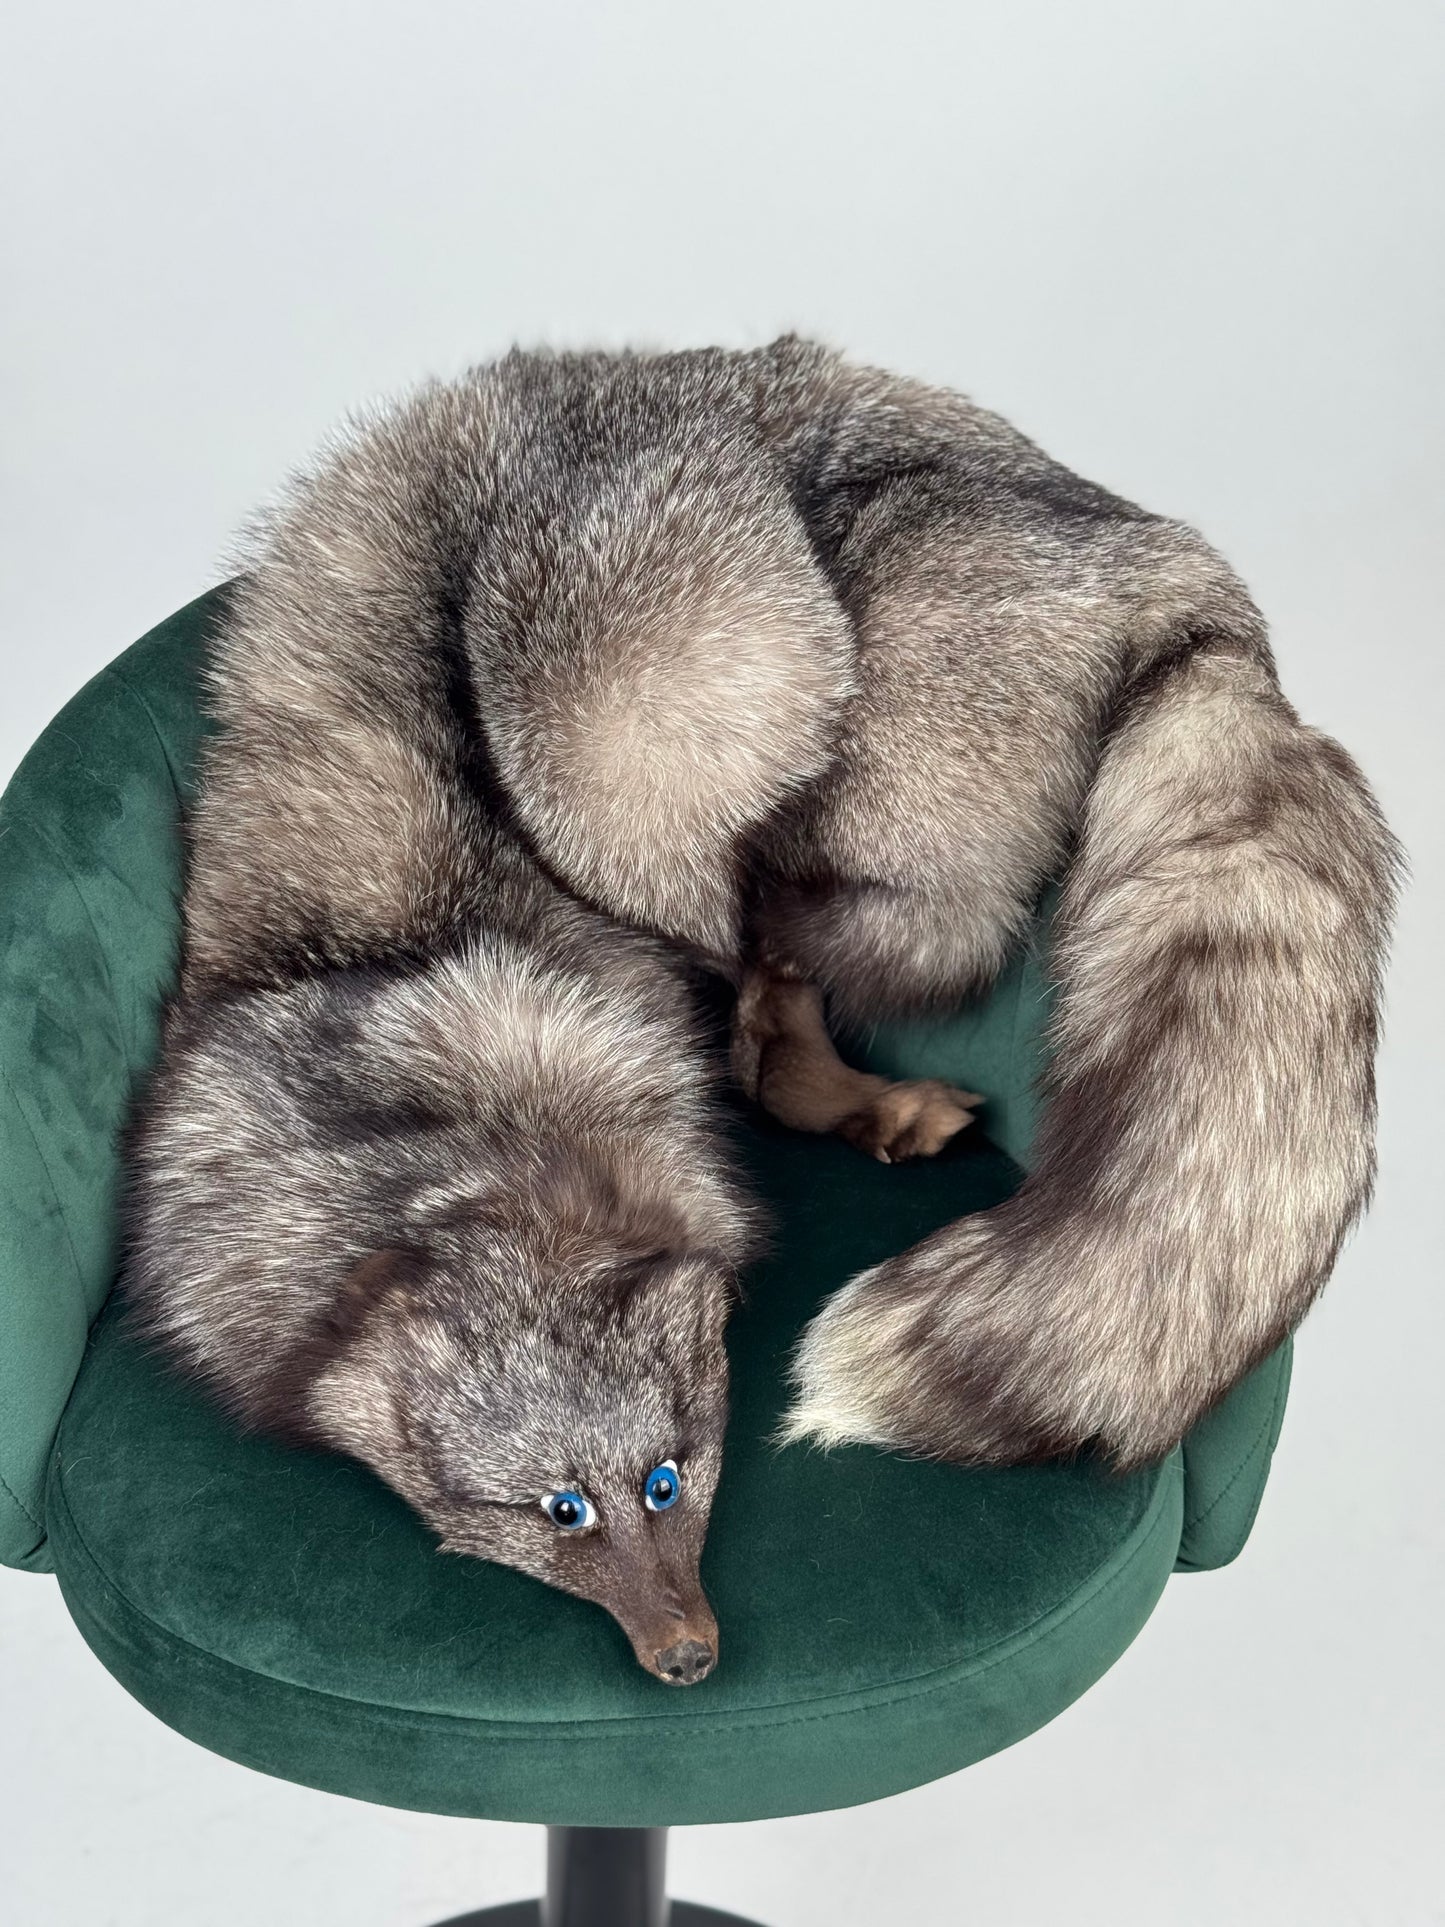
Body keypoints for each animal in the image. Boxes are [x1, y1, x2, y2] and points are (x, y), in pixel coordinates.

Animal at [123, 337, 1398, 1682]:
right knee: (804, 989)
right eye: (556, 1513)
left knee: (818, 936)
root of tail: (1149, 547)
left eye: (667, 1481)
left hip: (618, 708)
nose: (686, 1658)